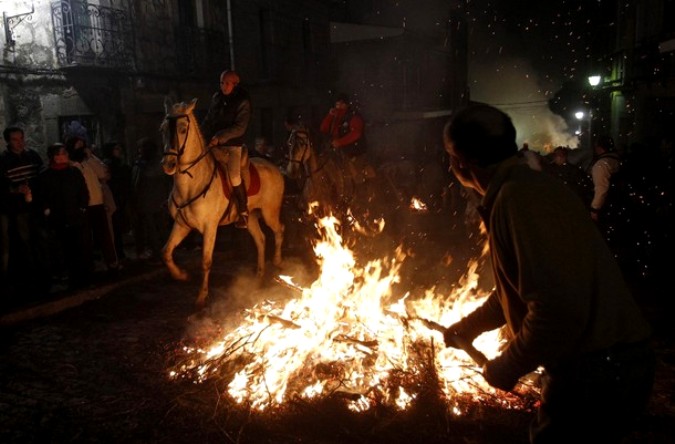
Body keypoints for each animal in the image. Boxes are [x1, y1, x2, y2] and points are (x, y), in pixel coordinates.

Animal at [160, 98, 284, 308]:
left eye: (183, 129)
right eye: (163, 129)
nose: (169, 165)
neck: (192, 183)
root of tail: (275, 168)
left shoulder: (210, 227)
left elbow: (206, 261)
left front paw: (202, 297)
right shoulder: (182, 225)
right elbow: (166, 252)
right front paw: (182, 275)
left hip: (270, 213)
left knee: (279, 230)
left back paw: (277, 261)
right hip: (251, 217)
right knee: (260, 240)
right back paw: (259, 276)